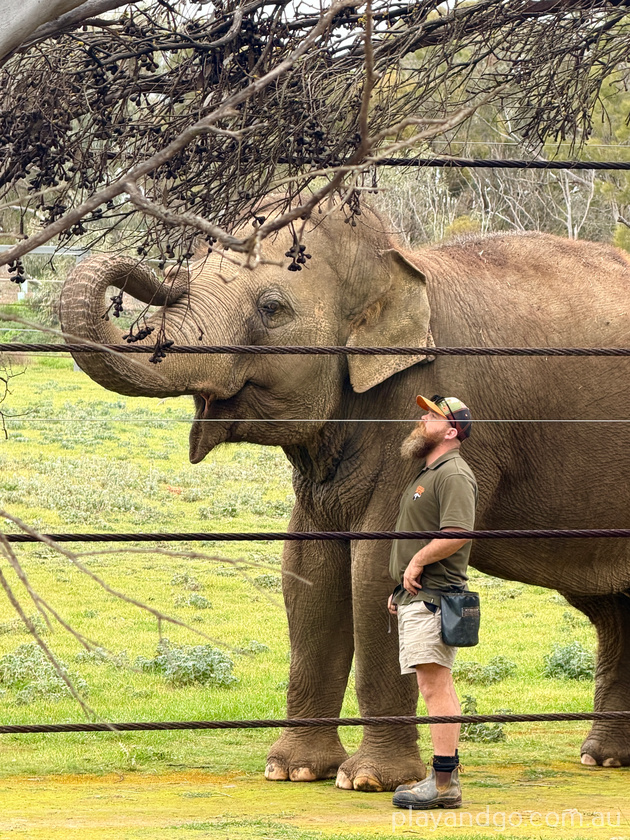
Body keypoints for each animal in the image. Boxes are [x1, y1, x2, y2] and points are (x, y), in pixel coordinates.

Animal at [60, 198, 630, 790]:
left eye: (271, 307)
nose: (157, 272)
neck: (400, 267)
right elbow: (308, 569)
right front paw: (291, 771)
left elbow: (375, 568)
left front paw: (371, 780)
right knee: (611, 609)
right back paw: (603, 758)